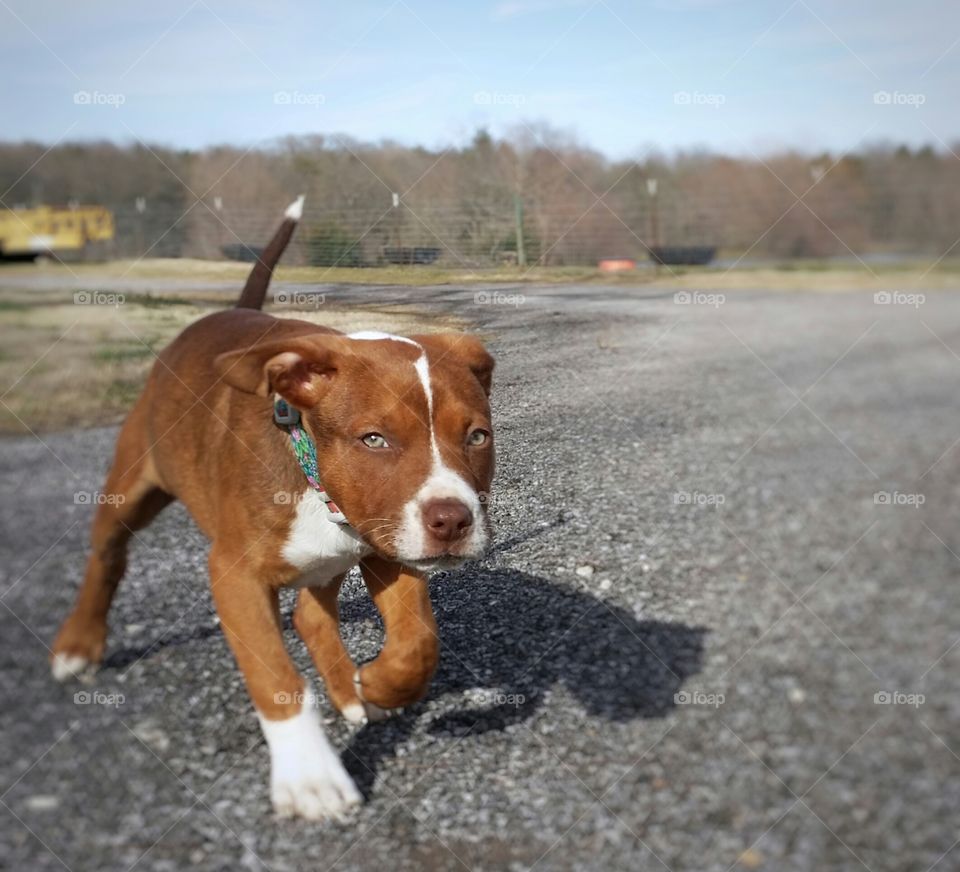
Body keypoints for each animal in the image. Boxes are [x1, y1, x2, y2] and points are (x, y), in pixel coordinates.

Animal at [51, 196, 496, 816]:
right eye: (374, 439)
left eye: (477, 437)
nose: (453, 520)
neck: (310, 470)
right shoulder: (234, 576)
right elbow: (277, 677)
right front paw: (309, 774)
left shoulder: (388, 546)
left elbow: (418, 641)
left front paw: (380, 684)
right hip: (131, 483)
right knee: (107, 557)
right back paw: (78, 644)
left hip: (330, 558)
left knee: (310, 614)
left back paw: (351, 691)